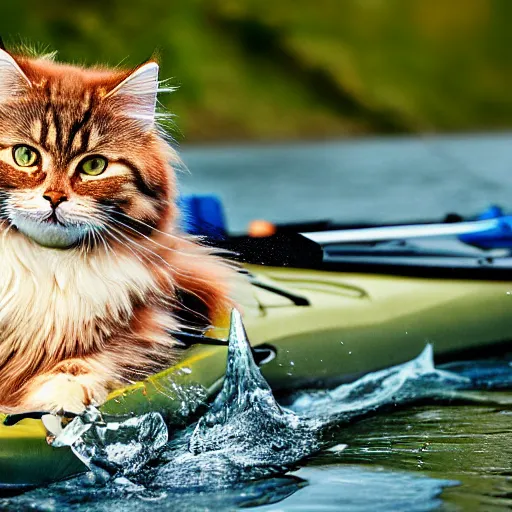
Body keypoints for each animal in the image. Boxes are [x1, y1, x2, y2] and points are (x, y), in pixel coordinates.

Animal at [0, 46, 236, 416]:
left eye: (93, 166)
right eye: (25, 155)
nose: (54, 198)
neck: (47, 267)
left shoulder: (153, 326)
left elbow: (96, 359)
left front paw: (64, 390)